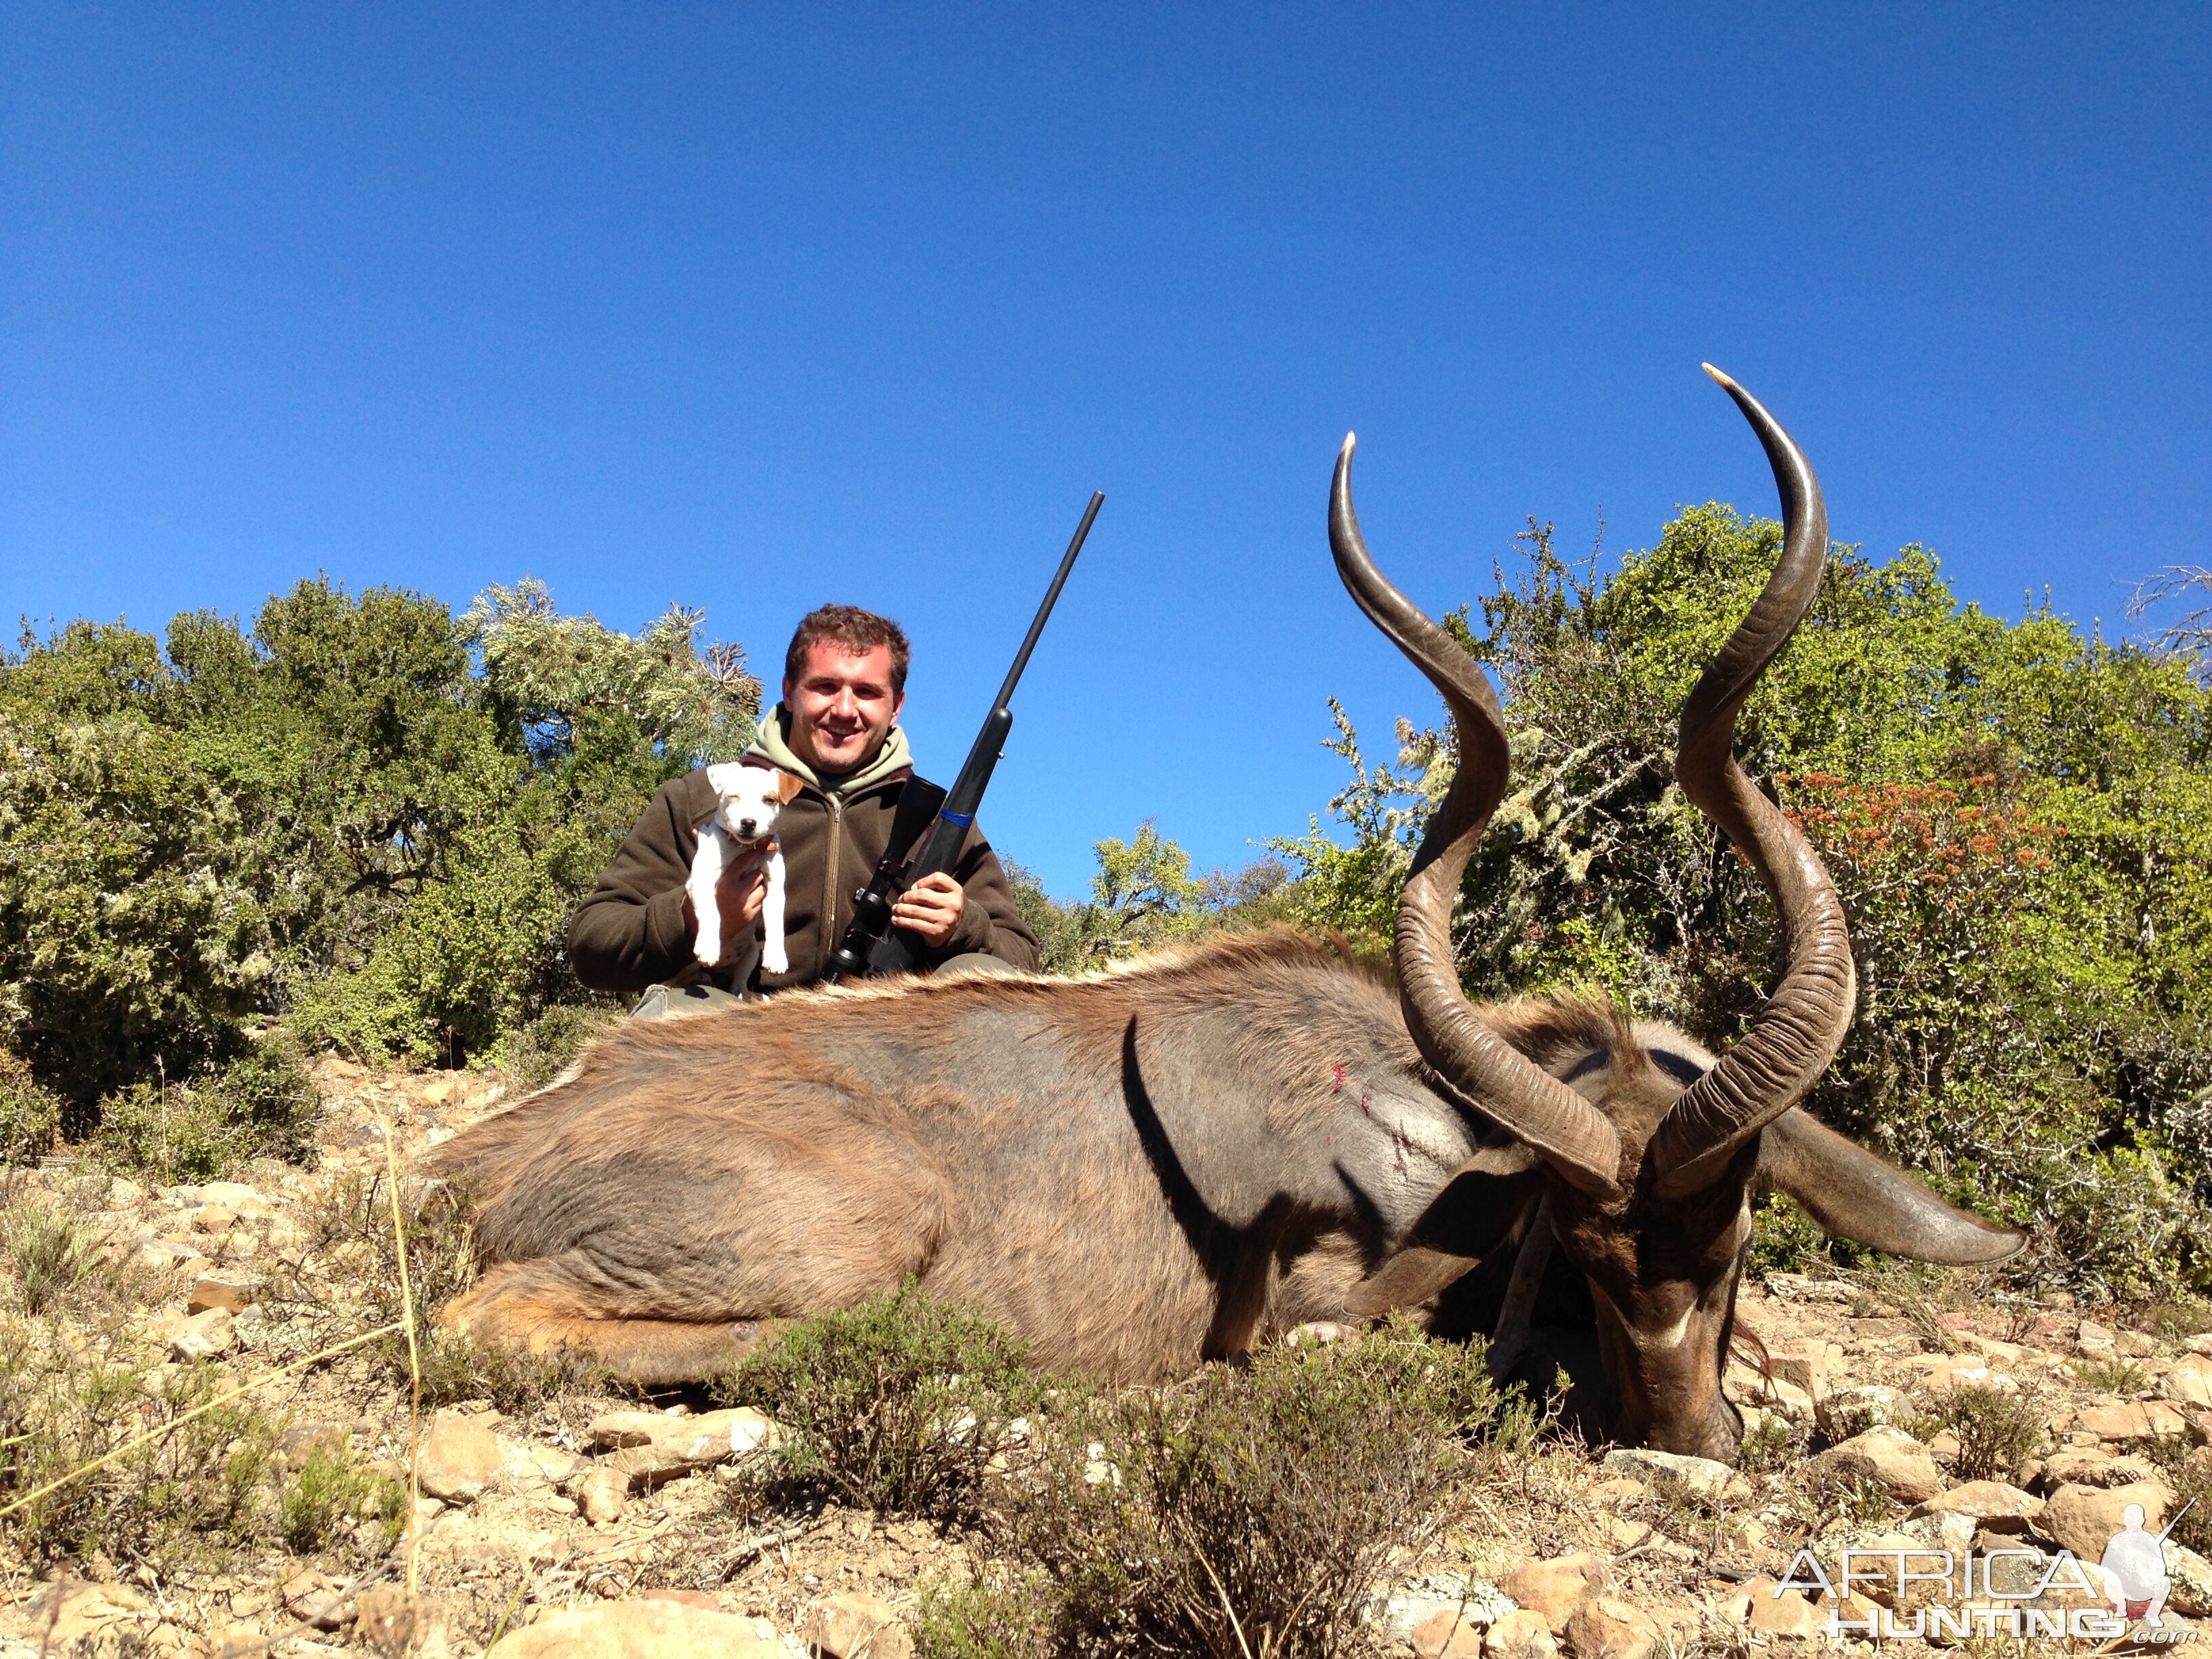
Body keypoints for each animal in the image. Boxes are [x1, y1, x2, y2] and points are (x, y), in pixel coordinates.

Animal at [690, 765, 805, 986]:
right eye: (733, 796)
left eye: (769, 800)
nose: (749, 823)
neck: (744, 849)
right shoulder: (700, 879)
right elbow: (711, 911)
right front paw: (708, 946)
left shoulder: (774, 890)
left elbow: (776, 923)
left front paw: (776, 957)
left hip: (751, 953)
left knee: (739, 982)